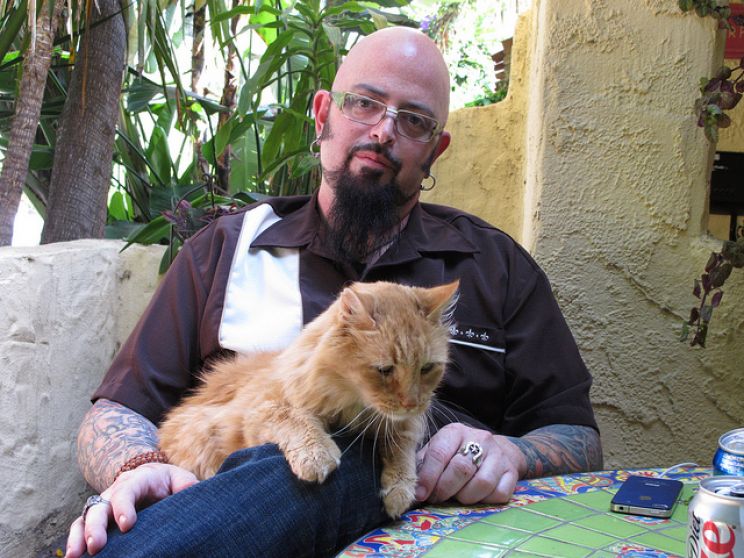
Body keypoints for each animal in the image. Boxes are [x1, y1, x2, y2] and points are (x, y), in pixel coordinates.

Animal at [157, 279, 459, 518]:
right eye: (384, 370)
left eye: (427, 368)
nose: (411, 403)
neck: (353, 406)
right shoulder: (256, 412)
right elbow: (294, 417)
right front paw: (317, 455)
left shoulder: (405, 423)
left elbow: (401, 447)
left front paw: (399, 490)